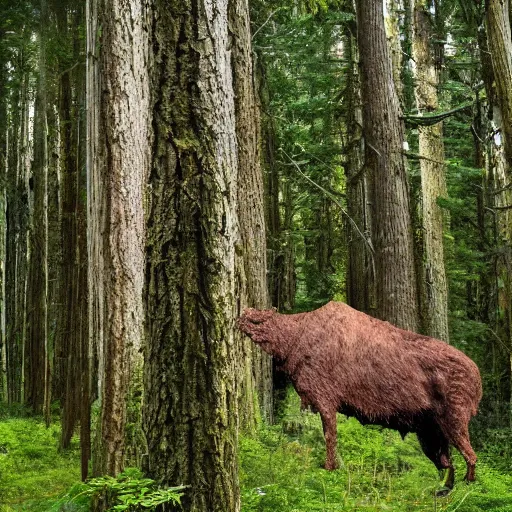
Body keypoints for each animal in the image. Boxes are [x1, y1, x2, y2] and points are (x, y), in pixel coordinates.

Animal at [238, 300, 482, 492]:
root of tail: (478, 382)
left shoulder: (325, 398)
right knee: (448, 464)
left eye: (256, 321)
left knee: (470, 457)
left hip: (454, 420)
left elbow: (330, 439)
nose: (240, 316)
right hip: (430, 432)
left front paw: (330, 469)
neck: (291, 343)